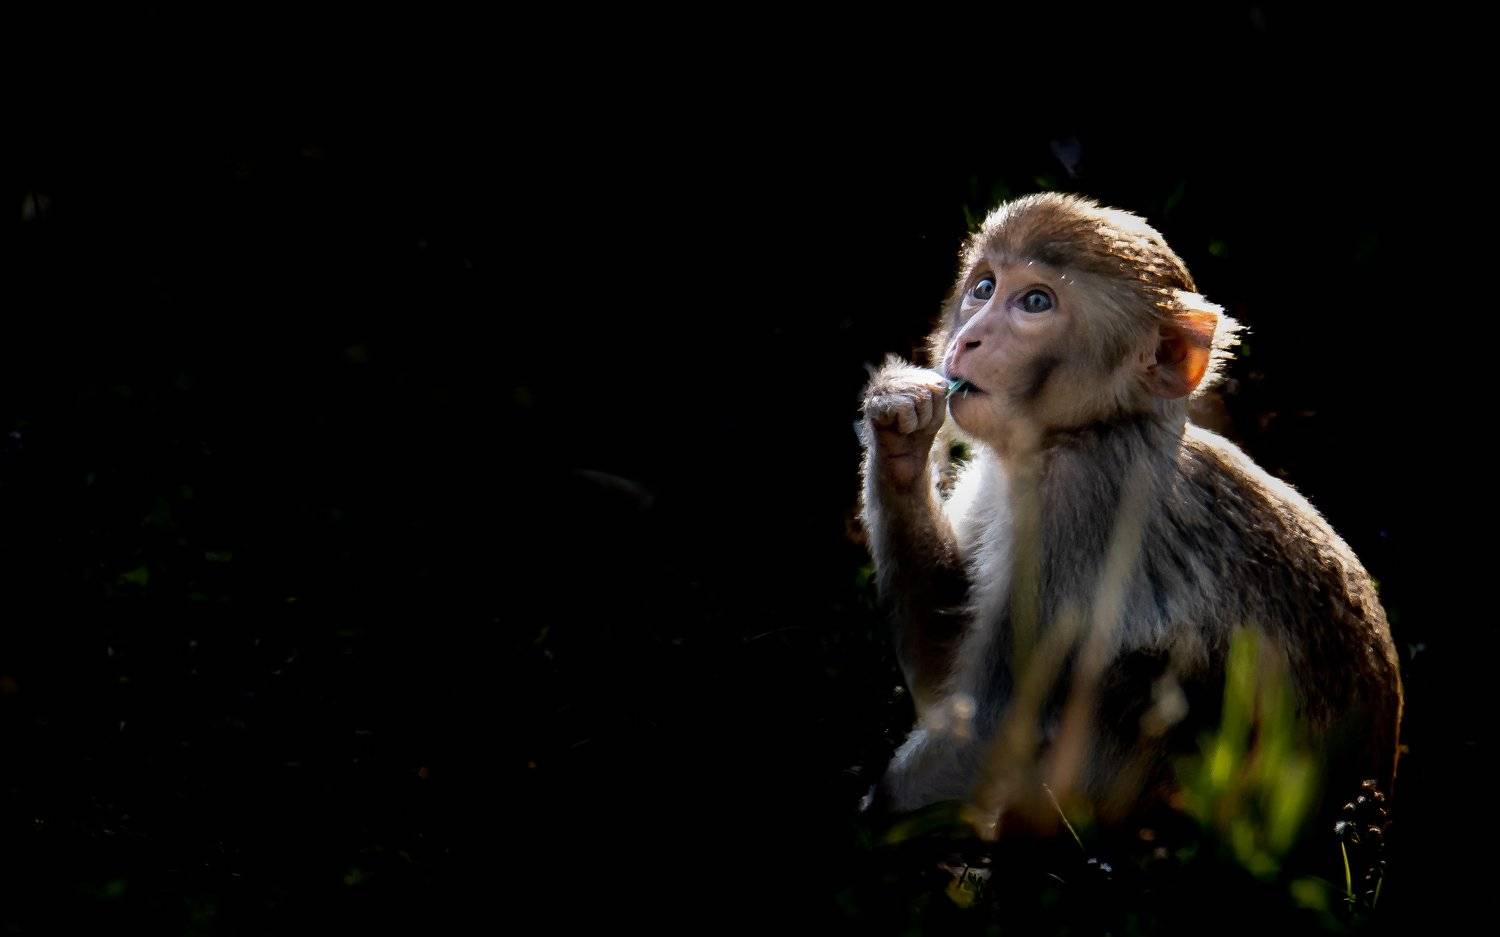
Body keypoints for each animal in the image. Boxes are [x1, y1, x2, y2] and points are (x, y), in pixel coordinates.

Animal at [857, 193, 1402, 836]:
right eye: (984, 287)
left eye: (1035, 302)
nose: (967, 340)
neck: (1084, 431)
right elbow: (943, 668)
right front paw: (900, 431)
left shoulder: (1083, 500)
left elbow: (991, 729)